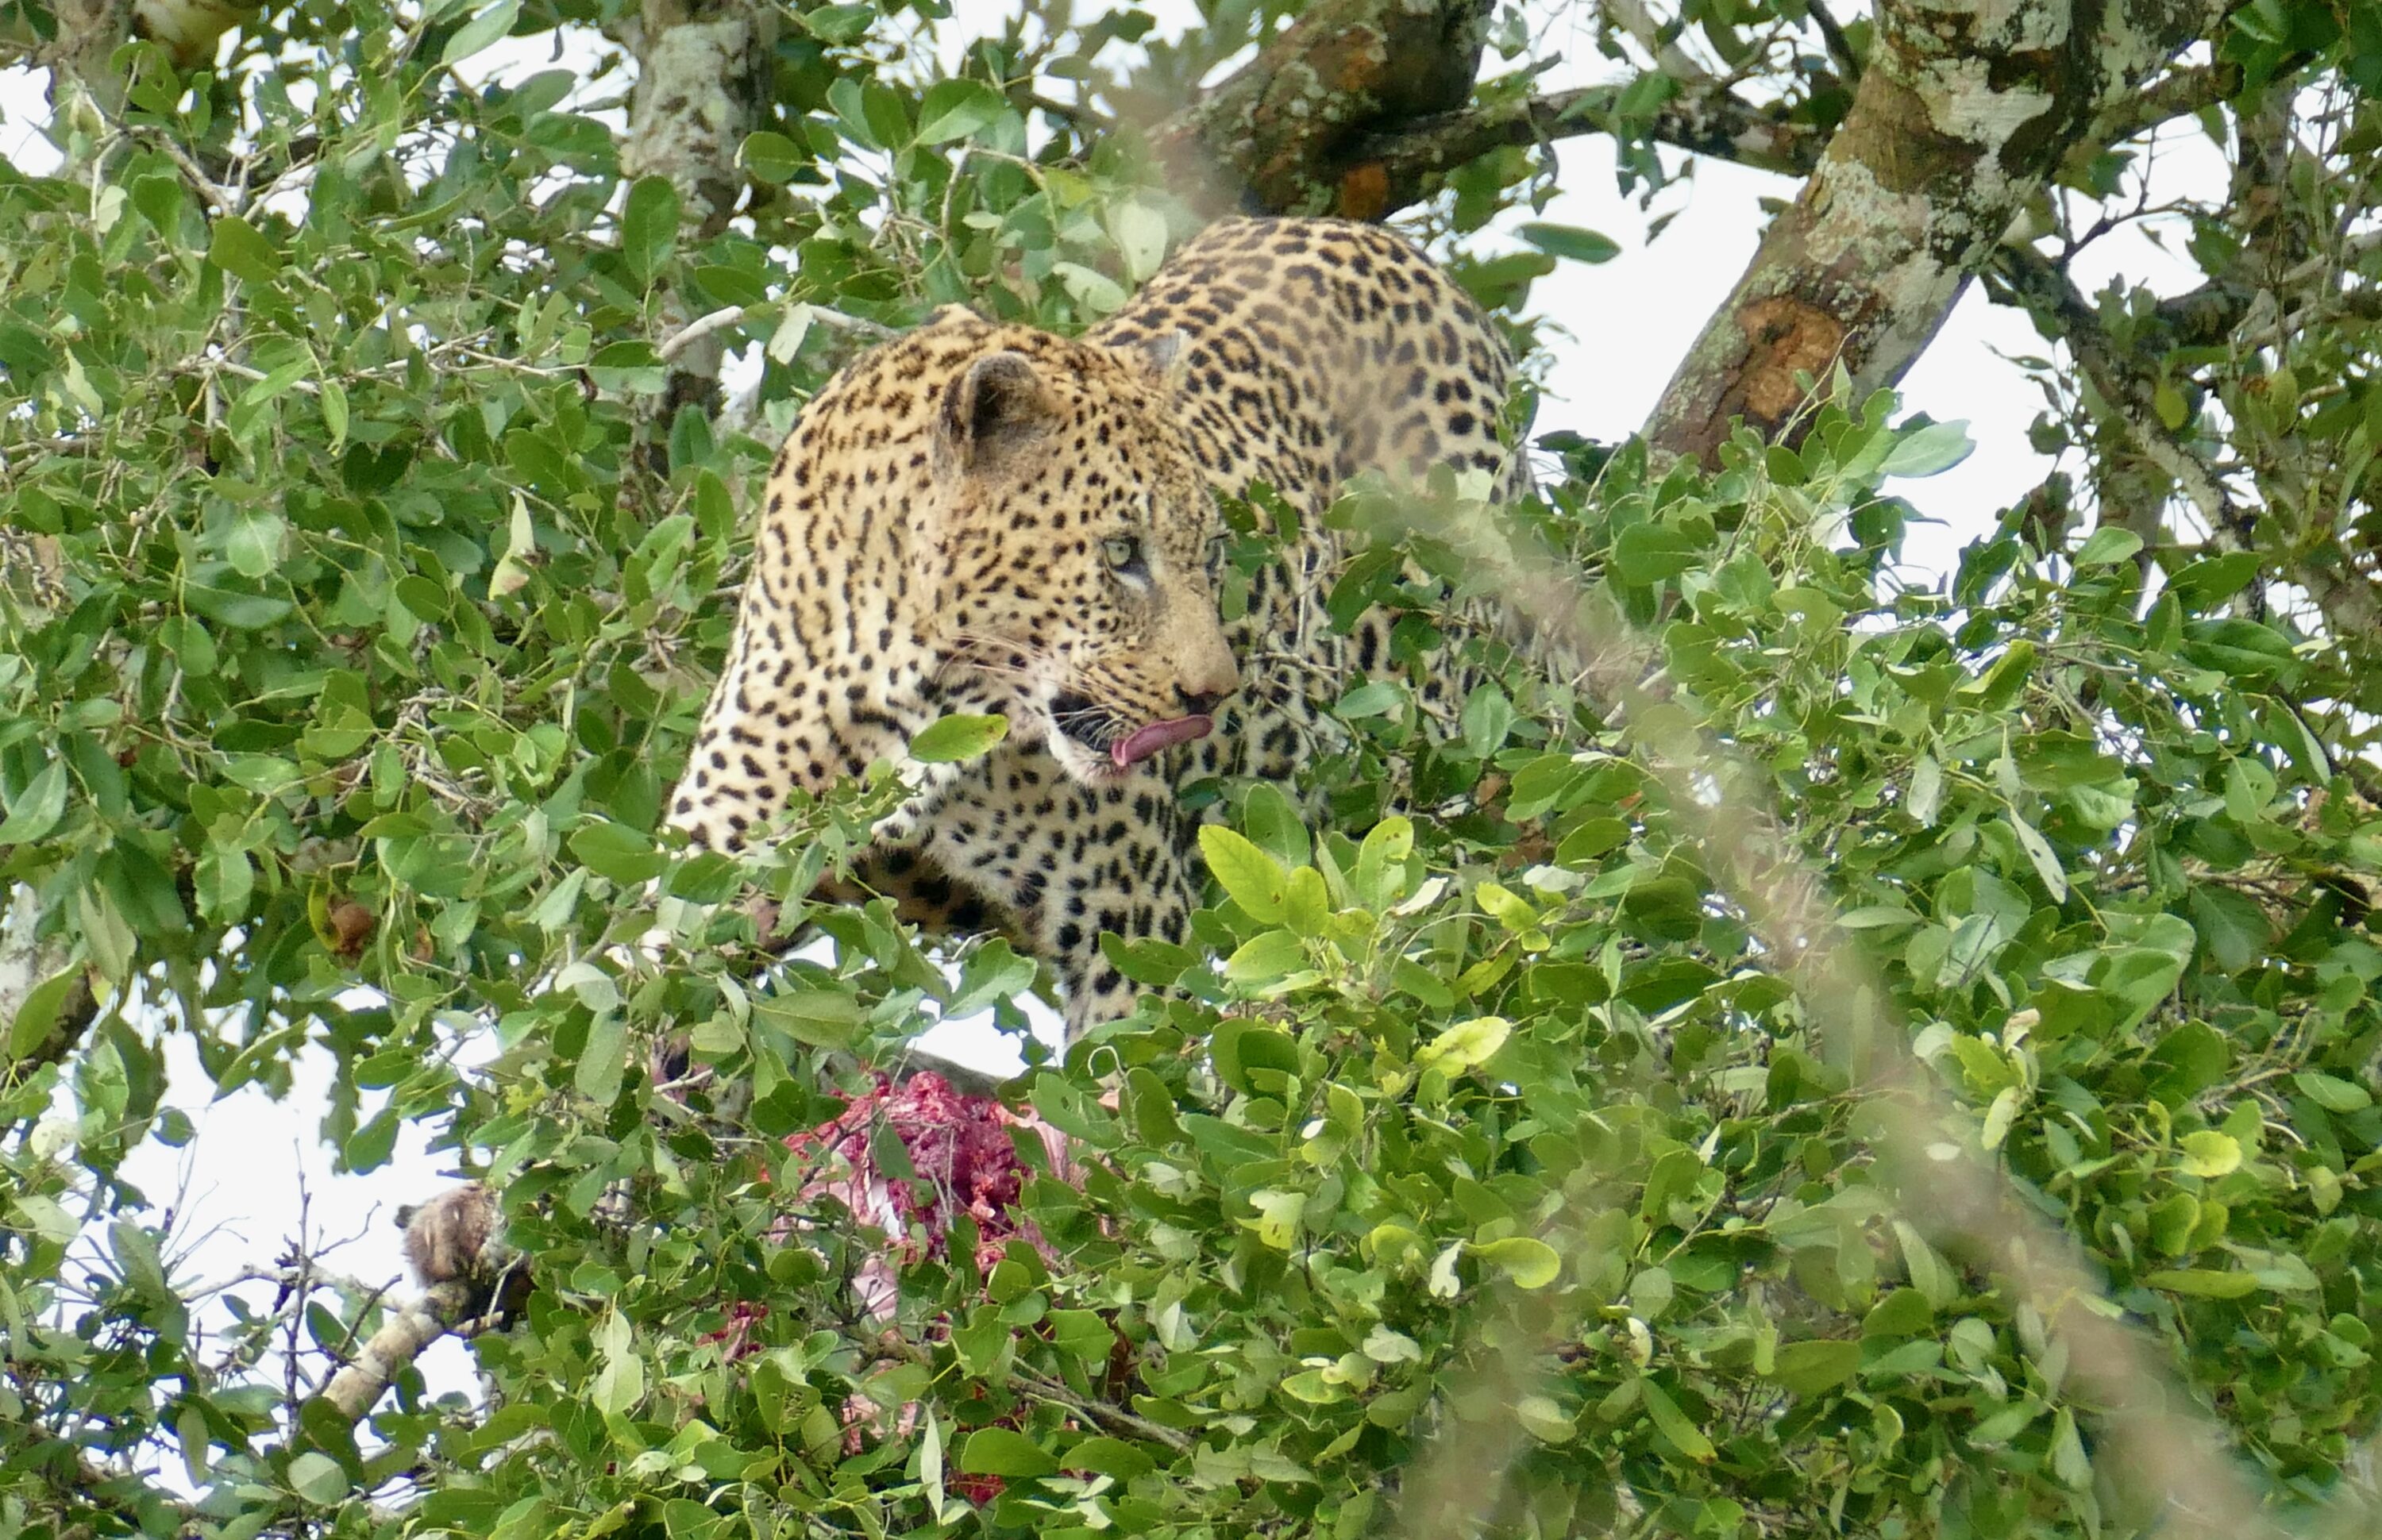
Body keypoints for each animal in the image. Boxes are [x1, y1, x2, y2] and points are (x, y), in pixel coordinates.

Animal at [665, 217, 1522, 1038]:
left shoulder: (1132, 929)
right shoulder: (704, 879)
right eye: (1120, 553)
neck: (910, 695)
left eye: (1212, 550)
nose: (1212, 695)